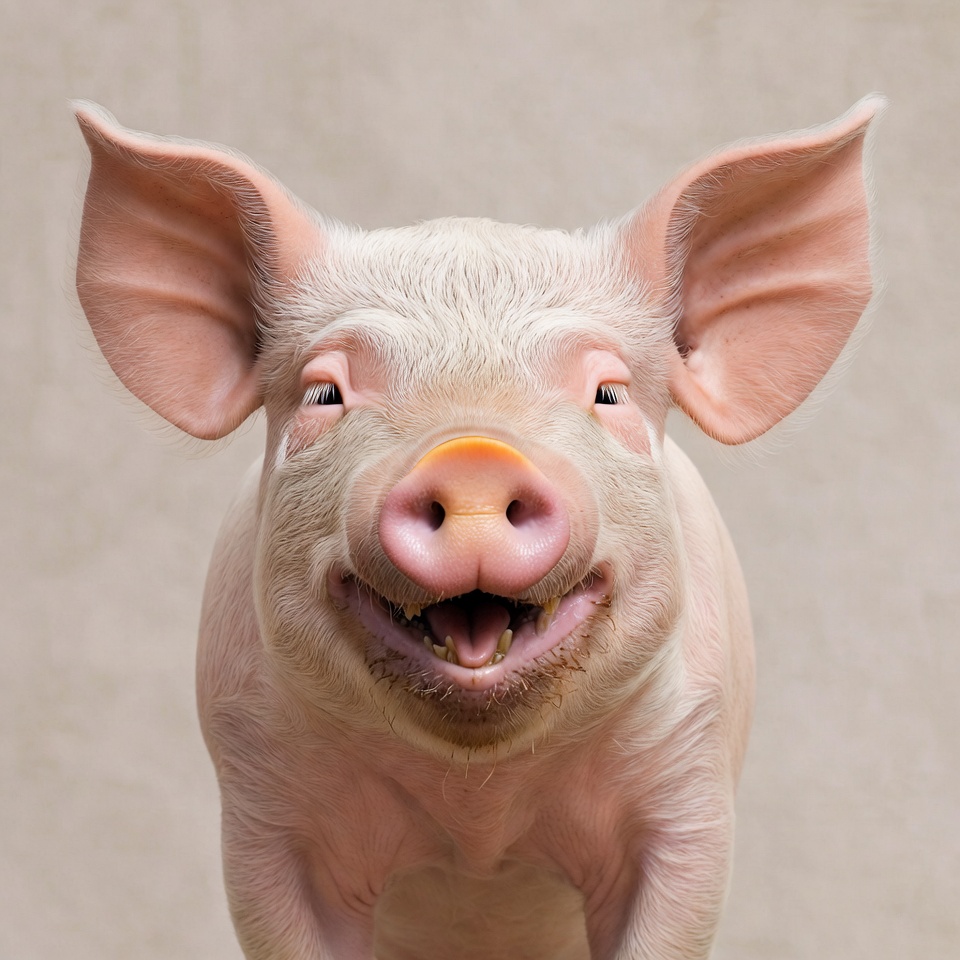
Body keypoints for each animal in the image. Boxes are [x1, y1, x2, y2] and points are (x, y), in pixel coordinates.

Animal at [73, 95, 884, 960]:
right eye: (326, 394)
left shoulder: (690, 783)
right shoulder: (260, 797)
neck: (478, 823)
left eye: (609, 393)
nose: (473, 454)